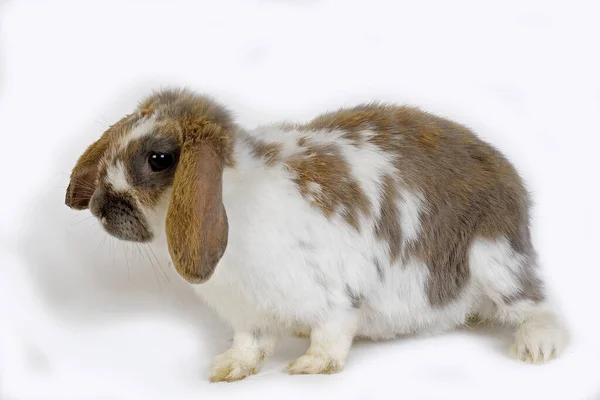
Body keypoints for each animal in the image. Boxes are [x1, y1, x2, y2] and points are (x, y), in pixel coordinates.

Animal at [64, 86, 568, 382]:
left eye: (159, 159)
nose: (100, 207)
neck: (235, 196)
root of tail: (508, 178)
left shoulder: (333, 296)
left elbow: (332, 333)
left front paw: (310, 365)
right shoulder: (249, 314)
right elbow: (250, 344)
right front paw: (228, 369)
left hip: (494, 260)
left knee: (538, 307)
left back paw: (535, 347)